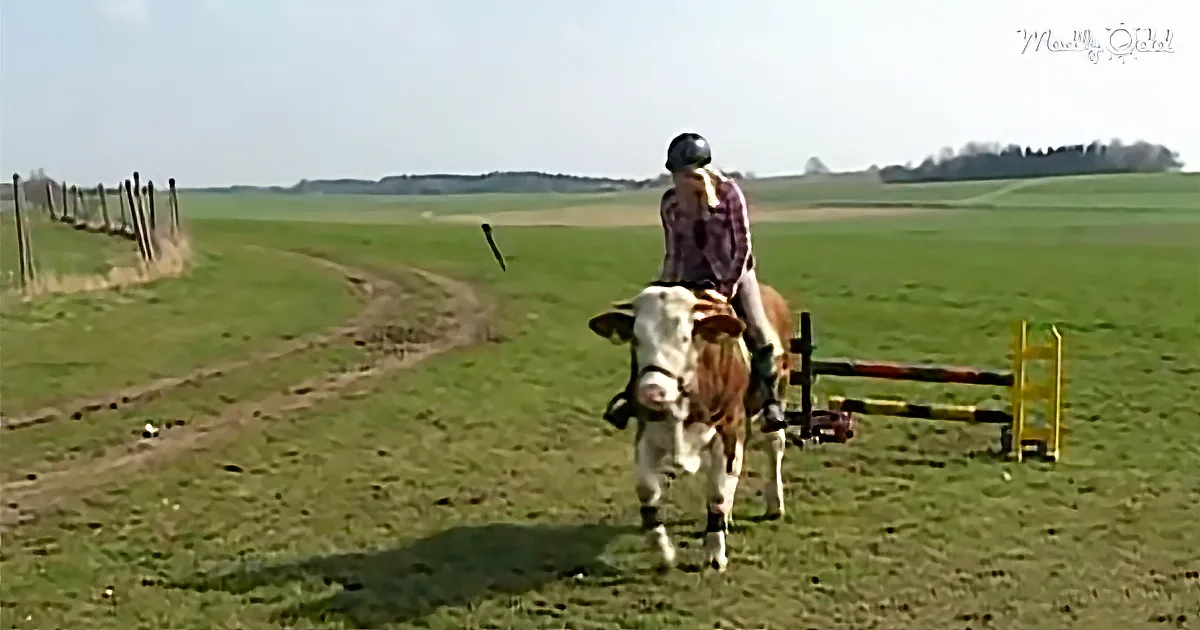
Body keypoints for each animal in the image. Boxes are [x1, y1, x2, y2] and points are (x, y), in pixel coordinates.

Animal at [587, 282, 794, 571]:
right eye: (636, 338)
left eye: (685, 338)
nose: (652, 392)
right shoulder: (647, 433)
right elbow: (647, 491)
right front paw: (663, 551)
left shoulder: (729, 430)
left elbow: (717, 495)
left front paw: (715, 553)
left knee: (774, 444)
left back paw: (775, 504)